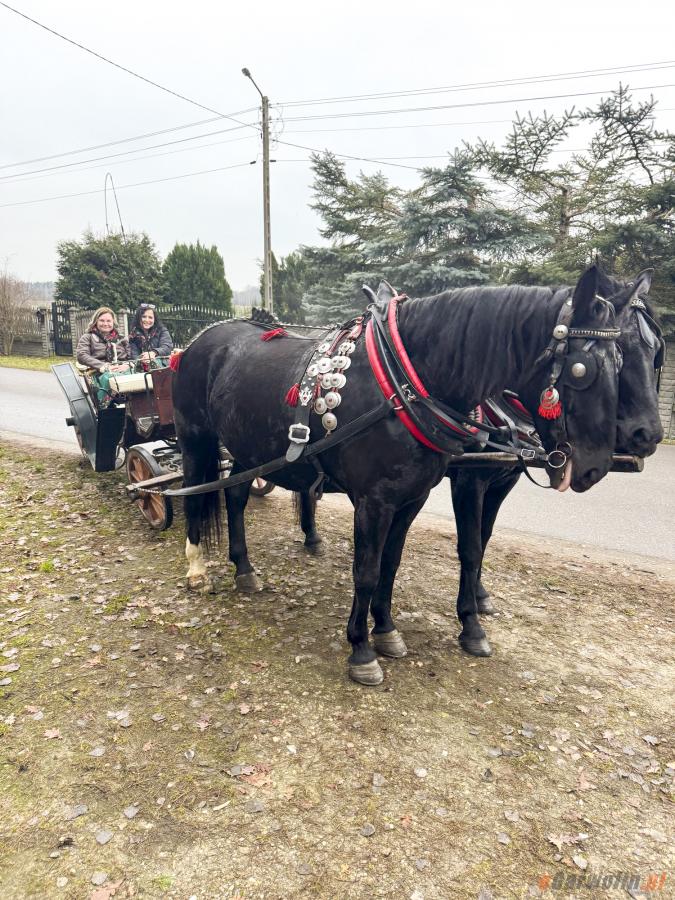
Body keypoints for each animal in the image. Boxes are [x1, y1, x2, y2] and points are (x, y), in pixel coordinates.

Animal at [172, 264, 624, 685]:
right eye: (582, 370)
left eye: (619, 363)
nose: (595, 467)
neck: (403, 383)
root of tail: (199, 341)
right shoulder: (374, 502)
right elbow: (367, 570)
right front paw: (361, 650)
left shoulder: (411, 498)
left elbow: (391, 564)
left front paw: (387, 631)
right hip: (196, 438)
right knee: (194, 493)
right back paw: (197, 569)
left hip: (247, 449)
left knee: (234, 497)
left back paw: (244, 569)